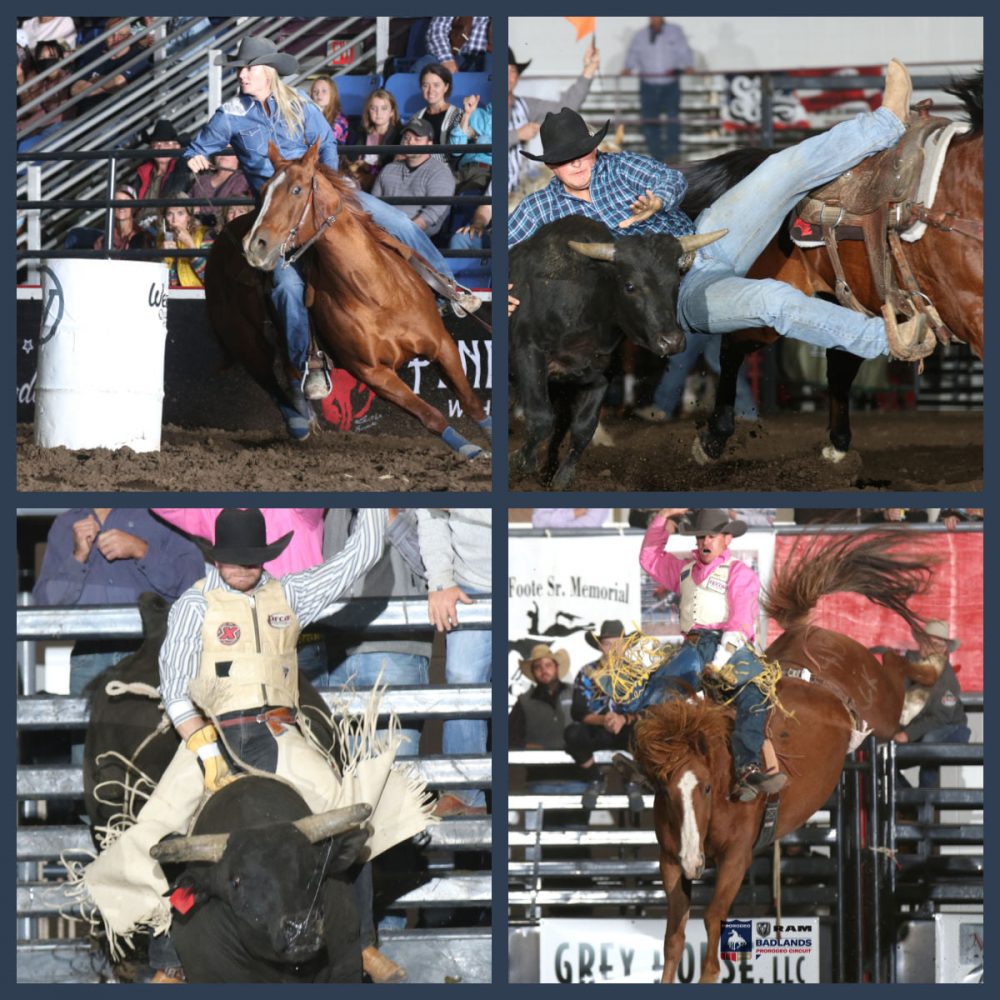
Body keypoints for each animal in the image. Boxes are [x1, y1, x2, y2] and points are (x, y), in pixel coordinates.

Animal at [206, 138, 492, 458]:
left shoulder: (442, 345)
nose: (254, 245)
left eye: (297, 190)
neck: (374, 293)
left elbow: (470, 401)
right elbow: (429, 415)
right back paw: (298, 424)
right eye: (263, 190)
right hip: (244, 341)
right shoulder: (372, 374)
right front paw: (469, 449)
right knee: (269, 380)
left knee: (290, 366)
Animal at [512, 217, 724, 490]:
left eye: (675, 282)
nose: (671, 341)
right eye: (630, 286)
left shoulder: (600, 373)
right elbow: (540, 417)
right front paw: (521, 460)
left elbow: (583, 427)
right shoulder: (528, 352)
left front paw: (562, 477)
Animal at [636, 532, 932, 984]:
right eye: (666, 792)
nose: (693, 862)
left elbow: (713, 920)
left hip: (879, 701)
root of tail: (808, 632)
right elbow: (674, 932)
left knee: (896, 673)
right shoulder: (670, 859)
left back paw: (925, 667)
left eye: (706, 787)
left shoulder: (737, 857)